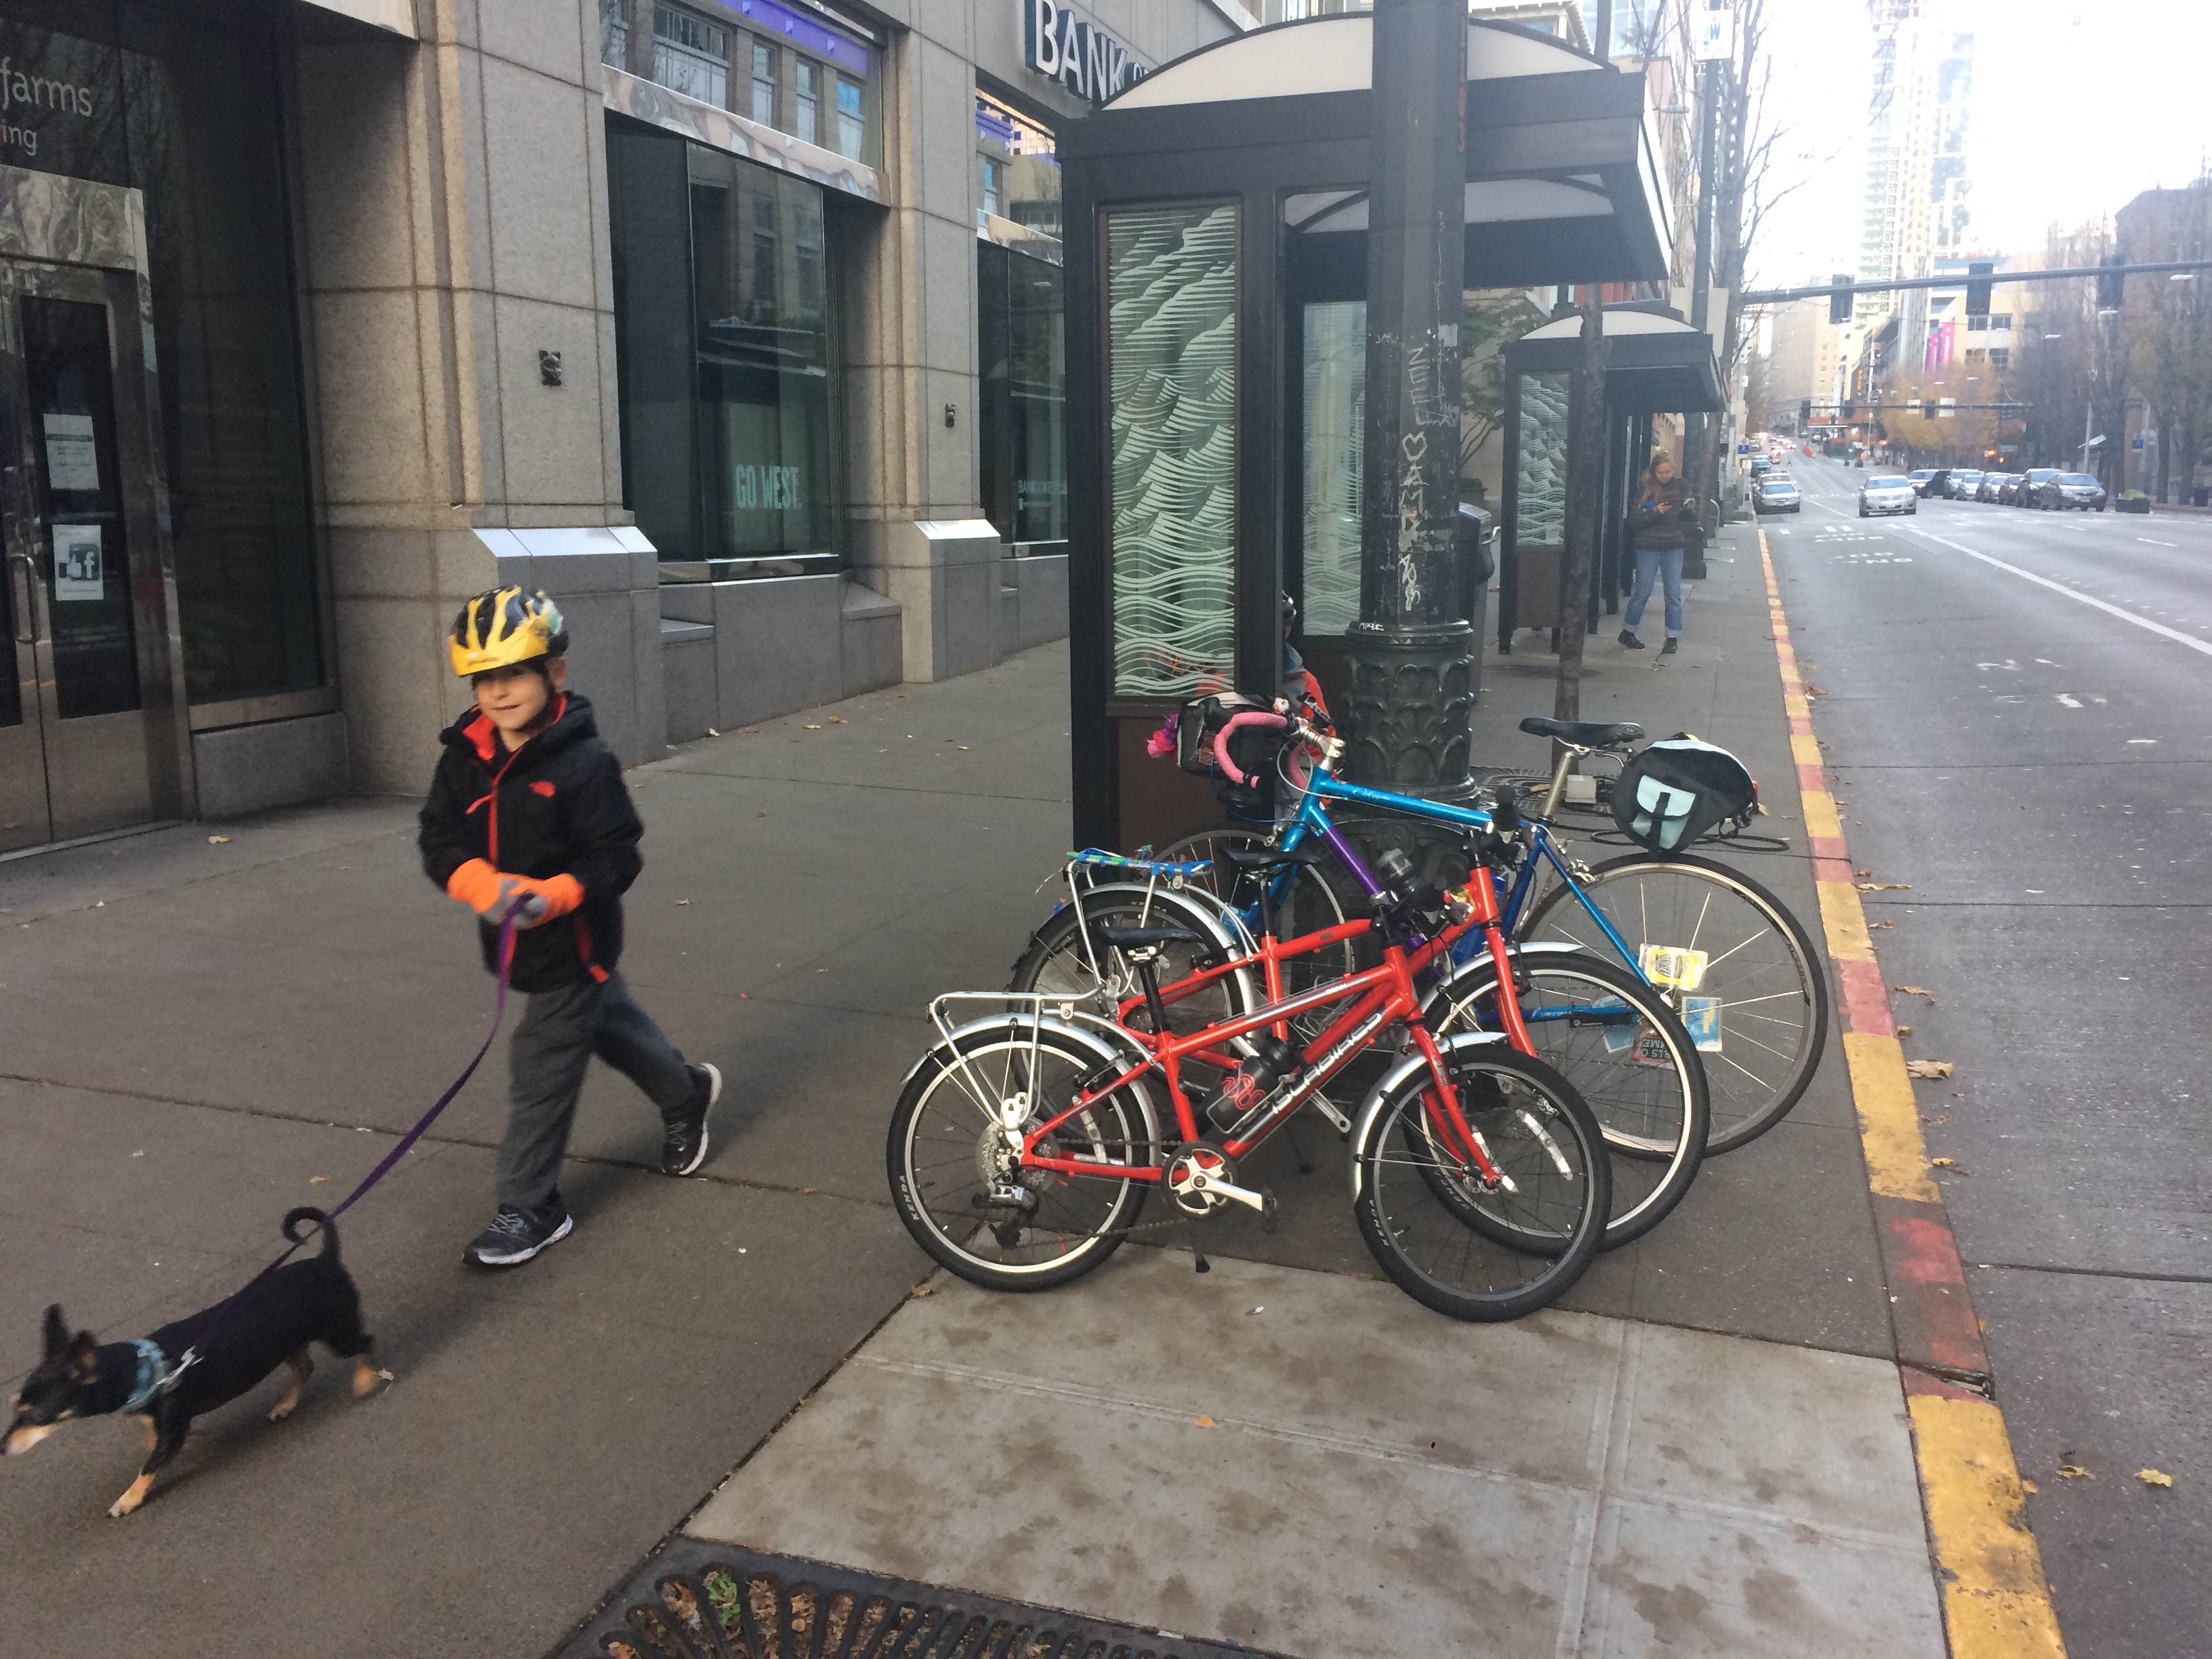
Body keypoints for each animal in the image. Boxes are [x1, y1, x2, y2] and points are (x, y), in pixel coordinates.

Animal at [4, 1206, 386, 1516]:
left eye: (35, 1416)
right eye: (15, 1406)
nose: (2, 1447)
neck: (142, 1369)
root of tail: (327, 1259)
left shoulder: (172, 1432)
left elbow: (148, 1466)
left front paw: (128, 1499)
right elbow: (151, 1438)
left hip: (339, 1334)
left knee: (364, 1344)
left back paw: (365, 1380)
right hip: (287, 1342)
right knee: (305, 1367)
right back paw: (287, 1404)